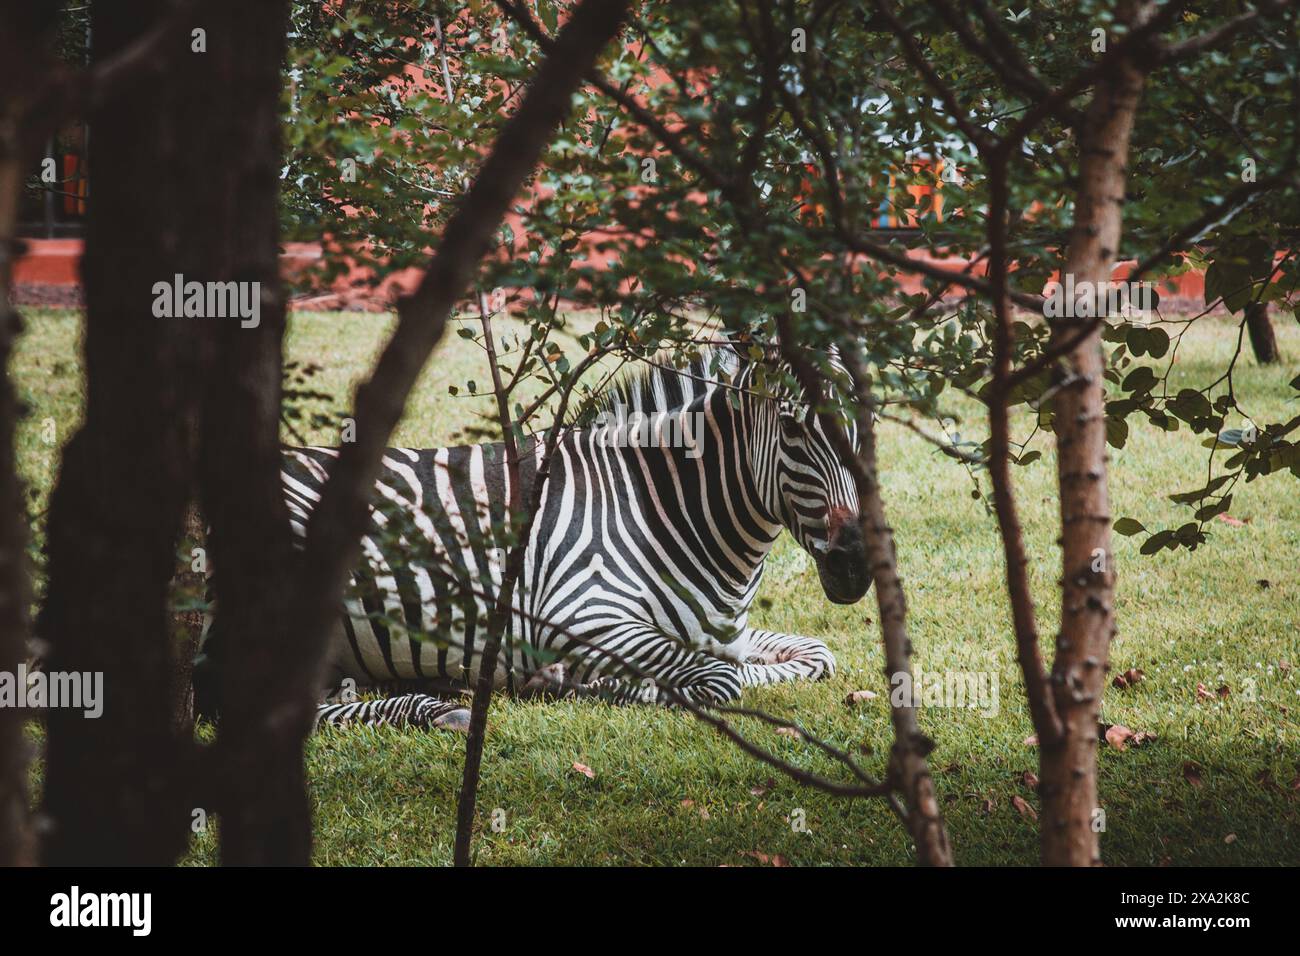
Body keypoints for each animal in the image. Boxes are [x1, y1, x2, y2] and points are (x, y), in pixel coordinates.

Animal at [198, 344, 871, 731]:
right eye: (792, 428)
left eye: (866, 426)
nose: (856, 565)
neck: (665, 508)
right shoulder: (579, 612)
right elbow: (719, 680)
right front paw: (586, 683)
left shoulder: (721, 633)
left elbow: (811, 656)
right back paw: (435, 707)